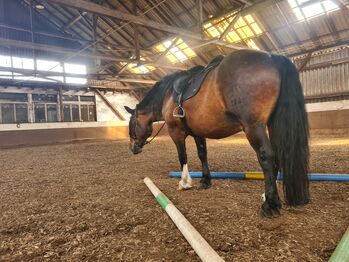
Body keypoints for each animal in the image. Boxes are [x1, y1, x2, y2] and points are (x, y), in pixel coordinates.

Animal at [123, 49, 308, 217]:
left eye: (132, 124)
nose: (133, 148)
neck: (168, 95)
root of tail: (271, 58)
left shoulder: (176, 132)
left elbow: (182, 156)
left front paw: (185, 182)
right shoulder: (198, 132)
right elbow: (202, 154)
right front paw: (205, 181)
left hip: (254, 126)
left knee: (267, 157)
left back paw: (270, 204)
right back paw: (266, 196)